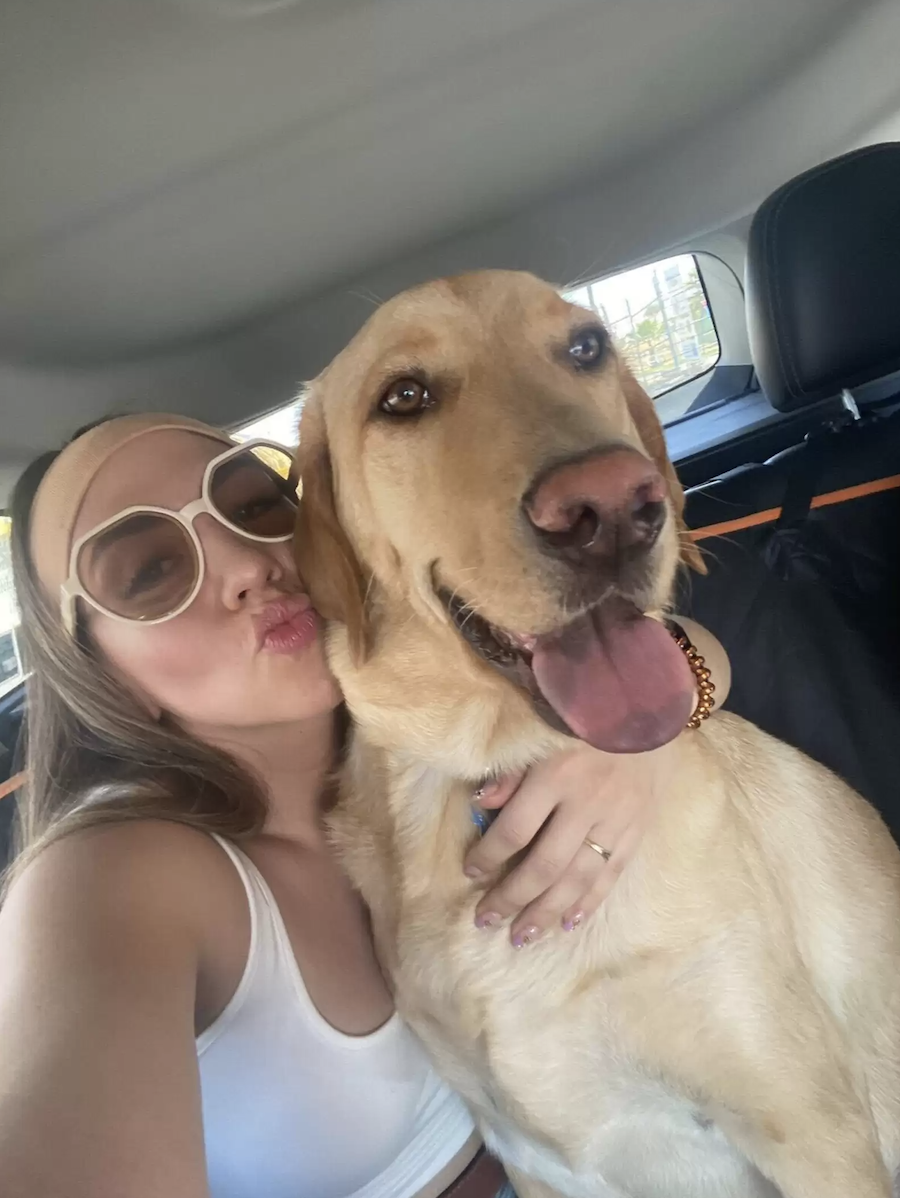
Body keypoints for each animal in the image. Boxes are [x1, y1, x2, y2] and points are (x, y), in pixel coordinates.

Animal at [294, 270, 900, 1198]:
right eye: (403, 397)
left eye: (585, 347)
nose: (613, 505)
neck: (482, 765)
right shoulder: (533, 1160)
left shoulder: (816, 1134)